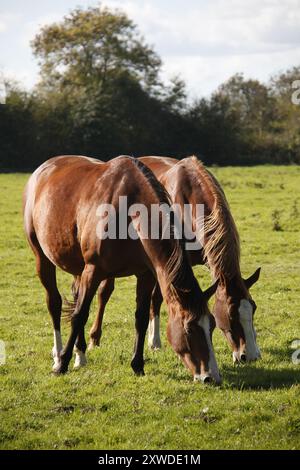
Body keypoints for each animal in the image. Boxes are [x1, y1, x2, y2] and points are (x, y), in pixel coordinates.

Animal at [22, 154, 220, 382]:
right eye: (189, 329)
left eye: (212, 325)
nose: (210, 375)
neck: (129, 212)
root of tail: (42, 170)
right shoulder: (93, 270)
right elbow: (80, 315)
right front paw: (62, 364)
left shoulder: (145, 275)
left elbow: (141, 317)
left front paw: (138, 365)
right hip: (43, 258)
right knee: (54, 303)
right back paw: (58, 354)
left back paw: (80, 354)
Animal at [88, 157, 260, 364]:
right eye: (231, 314)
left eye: (253, 308)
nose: (250, 356)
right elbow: (158, 298)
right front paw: (158, 342)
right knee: (105, 294)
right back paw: (95, 339)